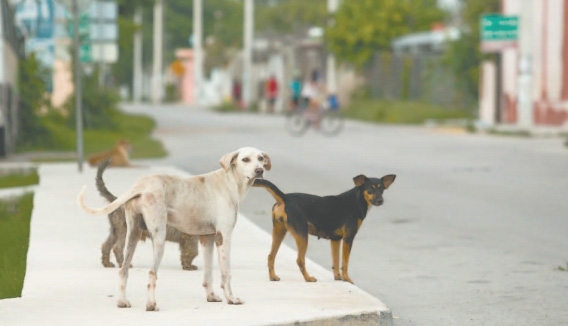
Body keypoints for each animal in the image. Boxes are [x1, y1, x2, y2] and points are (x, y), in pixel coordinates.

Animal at [77, 148, 270, 310]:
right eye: (245, 159)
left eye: (260, 158)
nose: (260, 170)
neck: (229, 182)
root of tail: (141, 184)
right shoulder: (224, 238)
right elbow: (226, 274)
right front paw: (231, 298)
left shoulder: (207, 239)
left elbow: (208, 273)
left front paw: (211, 296)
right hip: (158, 238)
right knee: (151, 273)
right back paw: (151, 305)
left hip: (132, 235)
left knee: (123, 270)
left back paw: (122, 301)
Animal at [253, 174, 394, 284]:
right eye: (370, 189)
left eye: (382, 190)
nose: (380, 200)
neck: (357, 199)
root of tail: (285, 198)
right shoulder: (348, 238)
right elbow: (345, 263)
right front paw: (347, 279)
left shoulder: (336, 239)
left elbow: (336, 261)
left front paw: (338, 278)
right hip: (302, 235)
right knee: (300, 260)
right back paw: (308, 278)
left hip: (279, 232)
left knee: (271, 256)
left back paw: (273, 277)